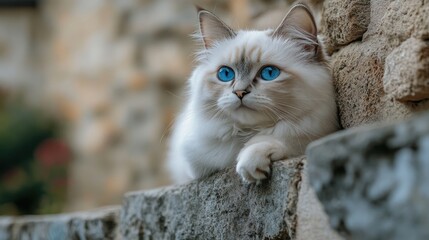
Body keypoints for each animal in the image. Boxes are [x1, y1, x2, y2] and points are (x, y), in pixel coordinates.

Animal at [167, 3, 338, 184]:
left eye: (269, 73)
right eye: (225, 74)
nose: (239, 92)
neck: (249, 132)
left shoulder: (317, 134)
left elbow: (280, 140)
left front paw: (249, 162)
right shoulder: (194, 167)